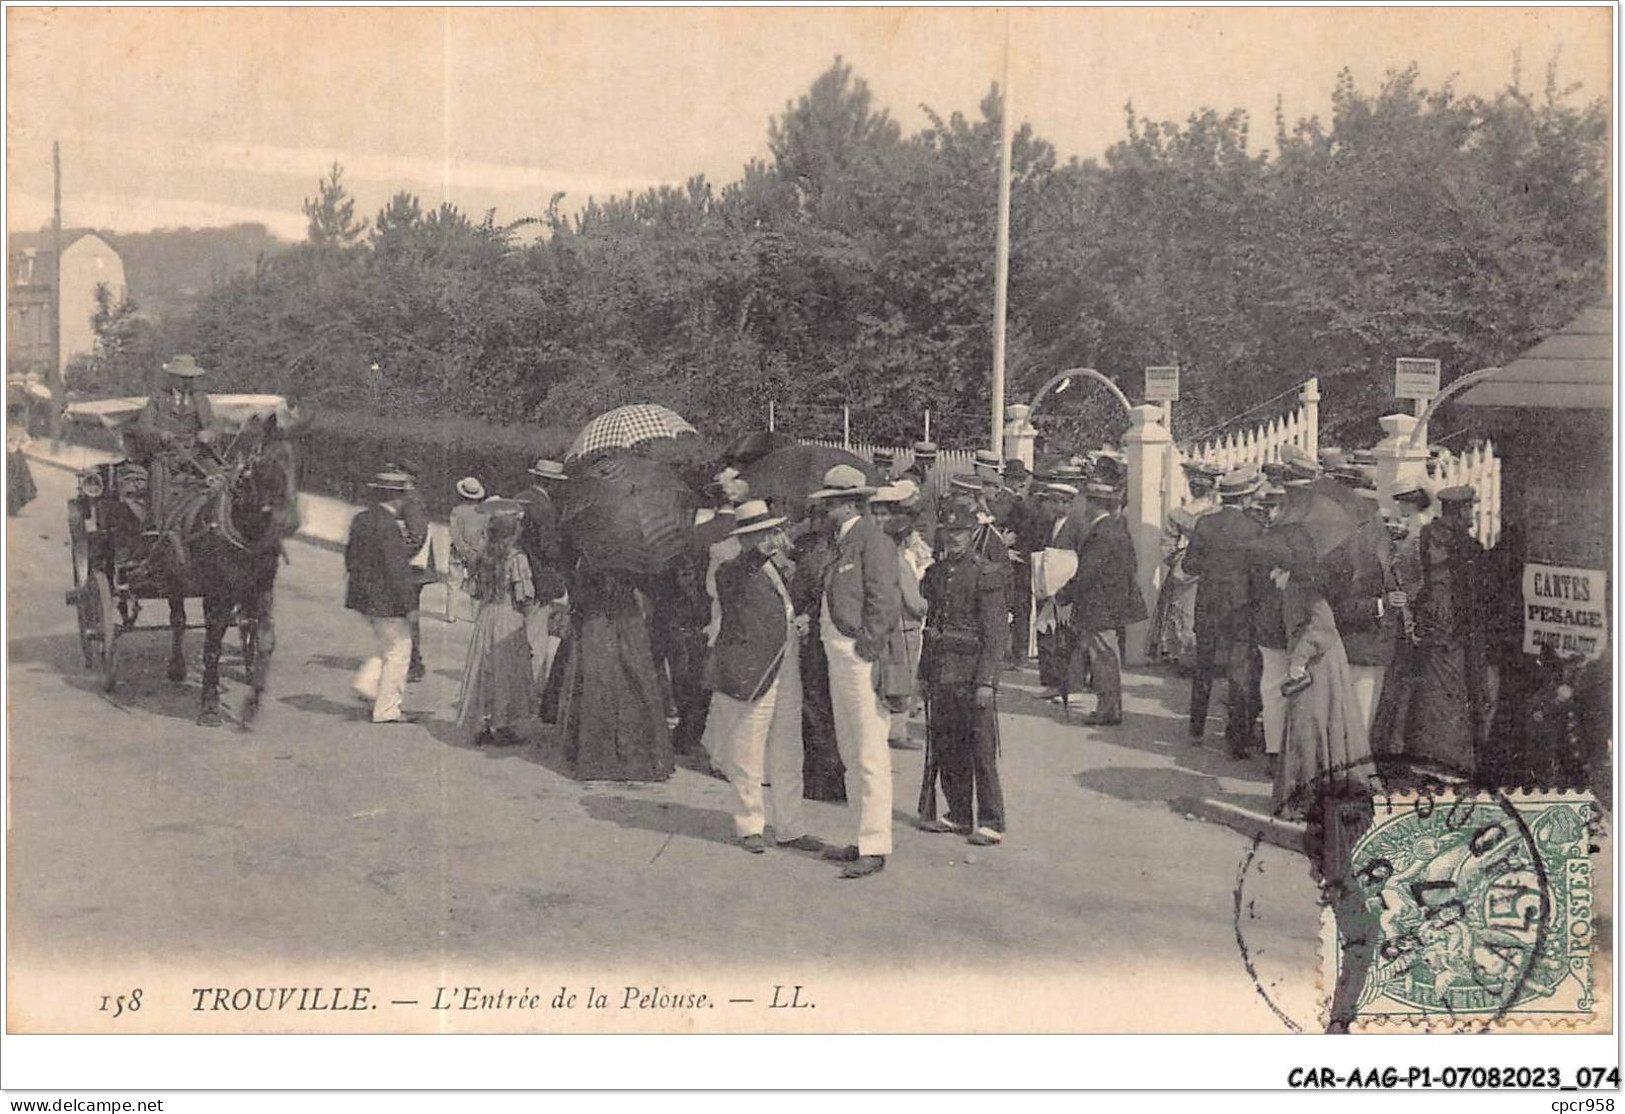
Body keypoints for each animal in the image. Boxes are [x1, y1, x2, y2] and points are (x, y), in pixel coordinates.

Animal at [156, 414, 303, 727]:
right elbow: (212, 648)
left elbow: (266, 641)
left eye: (297, 463)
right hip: (175, 577)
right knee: (178, 620)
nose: (290, 522)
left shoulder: (261, 590)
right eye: (267, 465)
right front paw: (210, 706)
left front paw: (252, 703)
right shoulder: (217, 595)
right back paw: (176, 667)